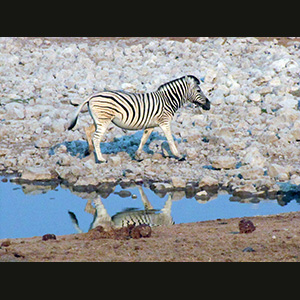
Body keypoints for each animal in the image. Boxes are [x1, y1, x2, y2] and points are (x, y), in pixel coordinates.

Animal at [68, 76, 210, 163]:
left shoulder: (151, 125)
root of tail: (92, 96)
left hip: (99, 120)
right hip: (104, 120)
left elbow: (143, 139)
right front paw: (178, 156)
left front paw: (137, 155)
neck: (168, 100)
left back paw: (89, 150)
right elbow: (170, 139)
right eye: (198, 90)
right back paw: (101, 159)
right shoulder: (164, 122)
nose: (209, 105)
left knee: (87, 129)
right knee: (97, 138)